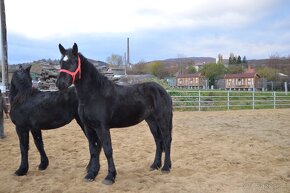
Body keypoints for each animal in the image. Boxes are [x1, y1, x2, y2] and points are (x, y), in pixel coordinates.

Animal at [56, 43, 172, 185]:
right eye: (61, 62)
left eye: (73, 62)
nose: (60, 84)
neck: (93, 94)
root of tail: (163, 90)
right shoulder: (89, 128)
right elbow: (93, 151)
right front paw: (91, 174)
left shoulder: (102, 127)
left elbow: (107, 150)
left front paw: (110, 176)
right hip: (151, 121)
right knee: (158, 141)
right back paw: (155, 165)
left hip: (162, 120)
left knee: (166, 140)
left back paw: (166, 167)